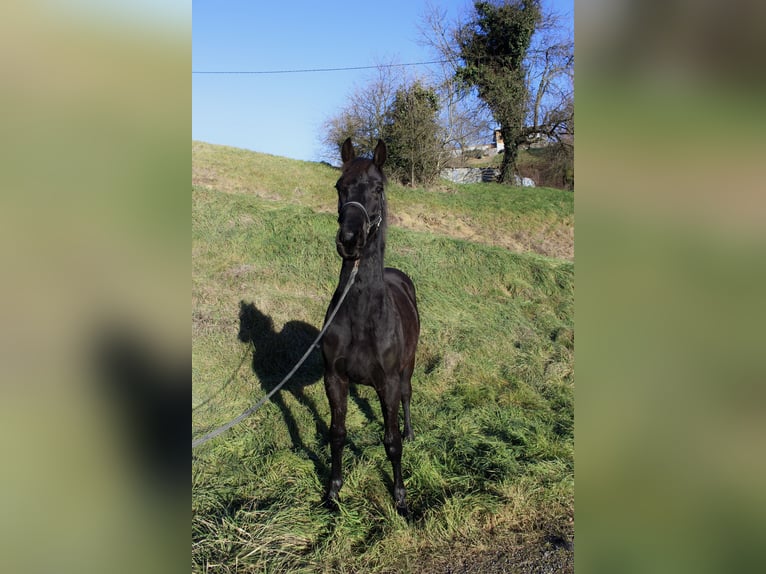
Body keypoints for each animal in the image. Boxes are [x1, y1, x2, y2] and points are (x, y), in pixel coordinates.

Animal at [320, 138, 424, 516]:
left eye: (378, 188)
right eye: (340, 186)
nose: (350, 240)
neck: (363, 314)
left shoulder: (388, 382)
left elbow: (391, 443)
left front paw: (401, 499)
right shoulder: (335, 378)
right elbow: (337, 434)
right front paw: (333, 492)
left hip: (408, 367)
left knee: (407, 398)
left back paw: (410, 432)